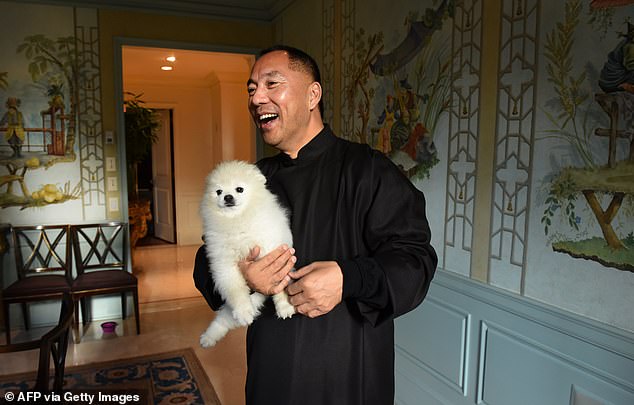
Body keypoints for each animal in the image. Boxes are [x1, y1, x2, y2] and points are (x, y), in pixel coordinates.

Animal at [199, 161, 296, 348]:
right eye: (219, 191)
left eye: (239, 189)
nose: (228, 197)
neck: (237, 221)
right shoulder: (224, 264)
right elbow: (236, 290)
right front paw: (244, 311)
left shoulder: (272, 252)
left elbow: (281, 285)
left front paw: (285, 306)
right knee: (224, 319)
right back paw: (208, 337)